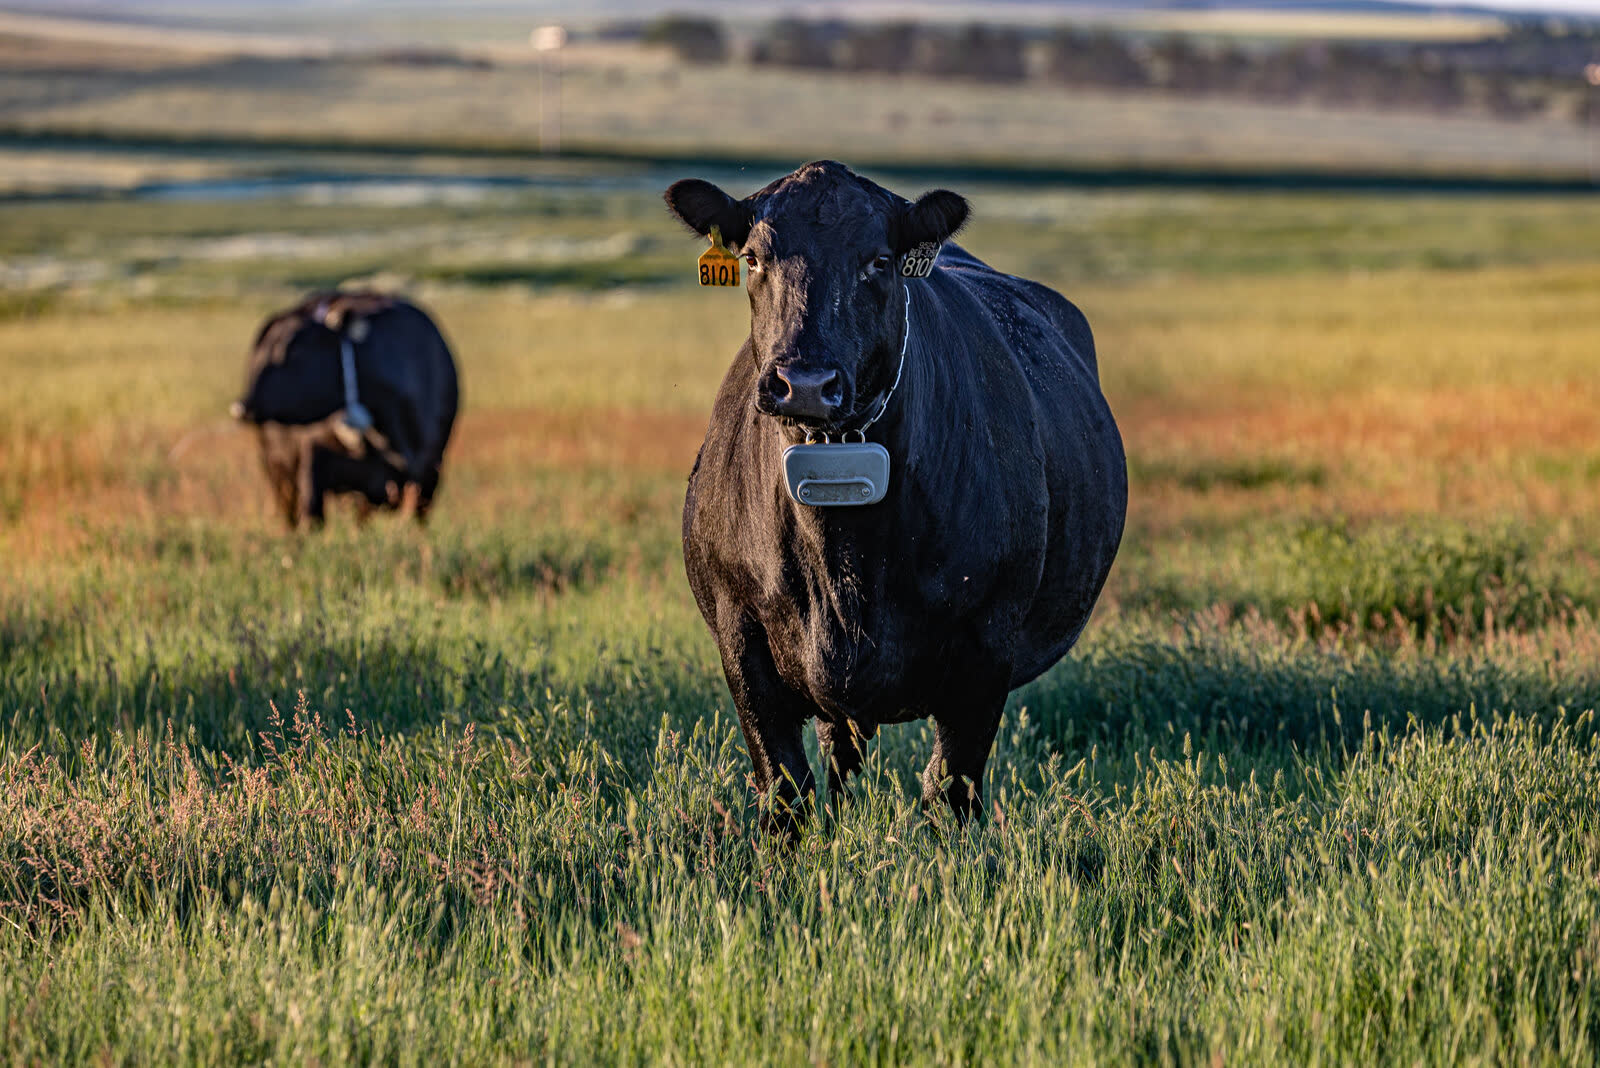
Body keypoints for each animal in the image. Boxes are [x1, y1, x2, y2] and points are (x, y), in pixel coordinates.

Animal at [231, 291, 458, 528]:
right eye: (259, 357)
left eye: (294, 352)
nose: (241, 408)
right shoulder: (316, 470)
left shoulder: (429, 472)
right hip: (277, 469)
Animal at [665, 160, 1127, 834]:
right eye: (753, 258)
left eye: (878, 261)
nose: (806, 382)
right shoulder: (740, 636)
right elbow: (785, 790)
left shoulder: (987, 641)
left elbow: (949, 790)